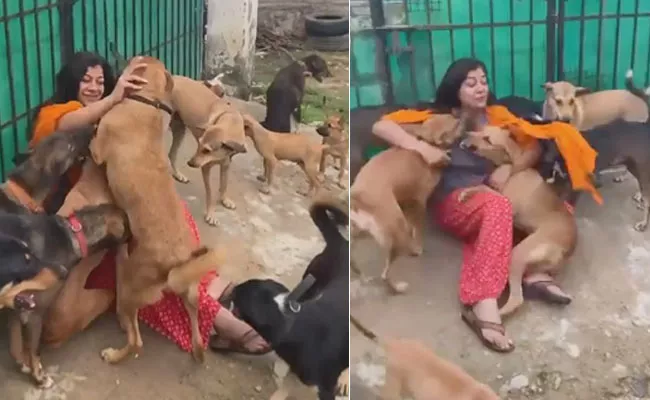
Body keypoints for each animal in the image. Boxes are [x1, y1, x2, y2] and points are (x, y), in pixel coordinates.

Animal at [2, 203, 130, 388]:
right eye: (129, 230)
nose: (134, 241)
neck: (73, 235)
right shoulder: (34, 311)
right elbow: (34, 351)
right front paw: (39, 377)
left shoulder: (17, 307)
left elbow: (15, 347)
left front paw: (24, 366)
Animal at [89, 54, 223, 364]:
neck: (146, 99)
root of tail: (179, 260)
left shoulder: (97, 149)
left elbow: (92, 139)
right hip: (190, 291)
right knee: (196, 324)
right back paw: (198, 351)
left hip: (129, 288)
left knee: (136, 341)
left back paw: (114, 354)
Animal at [350, 113, 460, 294]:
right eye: (454, 126)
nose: (457, 115)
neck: (427, 141)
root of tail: (359, 199)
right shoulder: (419, 202)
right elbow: (418, 228)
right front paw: (418, 247)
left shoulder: (406, 200)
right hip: (398, 235)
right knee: (385, 274)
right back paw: (399, 286)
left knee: (354, 264)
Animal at [458, 126, 576, 318]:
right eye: (481, 129)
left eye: (488, 140)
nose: (465, 133)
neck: (511, 165)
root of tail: (570, 246)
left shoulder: (507, 203)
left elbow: (484, 187)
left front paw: (467, 193)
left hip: (518, 255)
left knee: (517, 299)